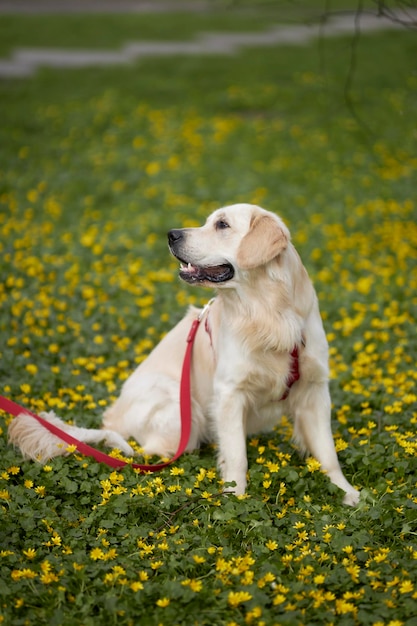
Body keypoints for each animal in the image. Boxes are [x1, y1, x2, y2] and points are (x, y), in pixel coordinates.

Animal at [8, 202, 360, 504]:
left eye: (222, 224)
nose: (171, 234)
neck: (268, 315)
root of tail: (114, 417)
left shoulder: (314, 390)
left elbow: (328, 453)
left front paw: (348, 494)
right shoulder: (229, 393)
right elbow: (237, 456)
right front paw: (235, 498)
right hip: (181, 405)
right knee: (141, 450)